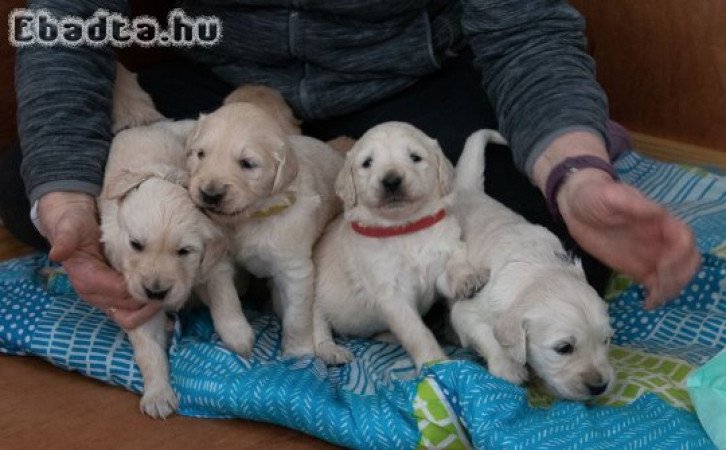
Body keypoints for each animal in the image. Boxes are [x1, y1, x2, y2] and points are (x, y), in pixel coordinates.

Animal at [98, 66, 255, 418]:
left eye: (184, 251)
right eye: (136, 244)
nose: (157, 292)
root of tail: (143, 124)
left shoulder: (215, 258)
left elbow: (225, 298)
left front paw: (238, 335)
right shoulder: (132, 294)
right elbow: (148, 348)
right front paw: (158, 393)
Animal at [189, 87, 346, 356]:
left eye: (247, 164)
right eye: (201, 154)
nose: (209, 194)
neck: (253, 217)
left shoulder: (295, 269)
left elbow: (297, 317)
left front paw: (298, 352)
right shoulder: (221, 259)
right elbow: (225, 297)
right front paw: (237, 335)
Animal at [312, 121, 486, 370]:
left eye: (415, 157)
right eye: (367, 162)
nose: (391, 181)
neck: (405, 228)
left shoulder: (446, 247)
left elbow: (456, 261)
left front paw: (468, 279)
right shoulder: (391, 293)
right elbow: (417, 332)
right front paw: (436, 362)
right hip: (314, 303)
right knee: (318, 329)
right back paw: (331, 351)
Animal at [450, 130, 616, 400]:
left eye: (605, 341)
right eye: (564, 348)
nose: (599, 387)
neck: (540, 274)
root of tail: (467, 191)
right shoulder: (467, 310)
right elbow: (488, 333)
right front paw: (508, 367)